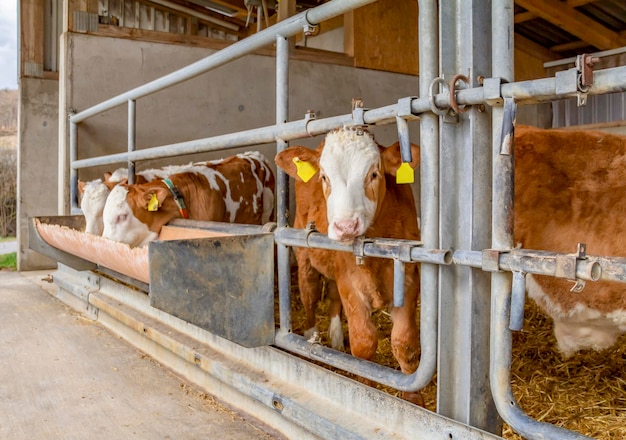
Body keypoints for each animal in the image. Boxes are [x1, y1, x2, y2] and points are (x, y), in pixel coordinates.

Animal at [272, 127, 420, 406]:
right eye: (324, 177)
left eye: (373, 174)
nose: (345, 226)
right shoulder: (350, 283)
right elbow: (364, 344)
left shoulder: (408, 278)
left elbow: (404, 344)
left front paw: (416, 405)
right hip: (303, 254)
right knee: (309, 296)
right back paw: (311, 337)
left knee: (331, 294)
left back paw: (337, 337)